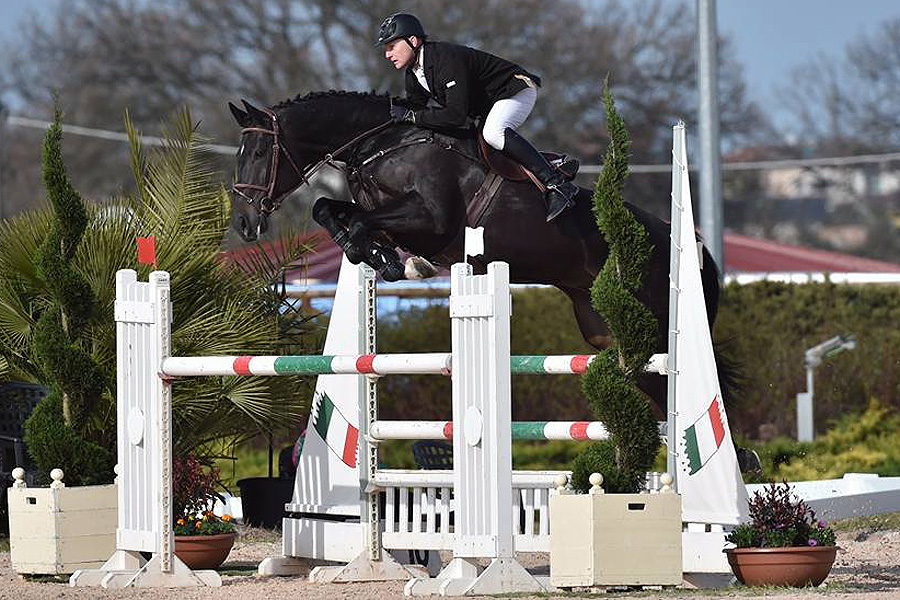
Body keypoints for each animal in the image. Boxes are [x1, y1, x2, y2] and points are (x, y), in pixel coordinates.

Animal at [228, 90, 734, 447]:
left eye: (259, 154)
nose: (245, 224)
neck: (381, 146)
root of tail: (690, 245)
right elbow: (327, 209)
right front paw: (380, 258)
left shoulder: (431, 220)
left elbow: (356, 220)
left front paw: (384, 257)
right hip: (604, 332)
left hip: (650, 327)